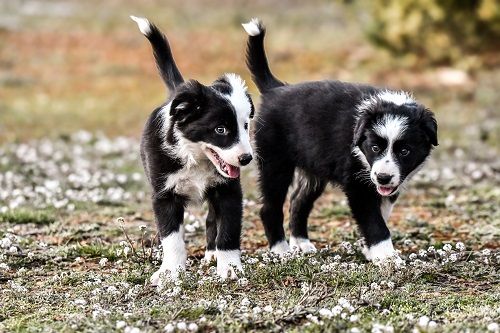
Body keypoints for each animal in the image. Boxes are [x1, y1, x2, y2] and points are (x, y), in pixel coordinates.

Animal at [131, 16, 254, 284]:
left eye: (245, 126)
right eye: (220, 129)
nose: (246, 158)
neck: (195, 159)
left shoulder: (228, 191)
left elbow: (228, 231)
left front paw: (230, 268)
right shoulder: (164, 195)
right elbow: (171, 238)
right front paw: (170, 272)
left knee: (211, 220)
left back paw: (213, 254)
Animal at [242, 19, 438, 260]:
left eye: (404, 151)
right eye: (375, 147)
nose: (383, 177)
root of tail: (276, 88)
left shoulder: (385, 185)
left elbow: (380, 214)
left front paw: (371, 251)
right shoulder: (358, 185)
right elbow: (375, 222)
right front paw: (386, 257)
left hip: (313, 169)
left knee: (298, 201)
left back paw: (301, 243)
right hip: (275, 163)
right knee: (270, 208)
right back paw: (281, 250)